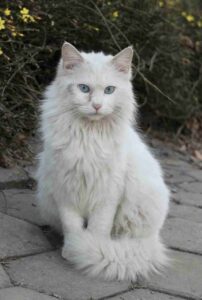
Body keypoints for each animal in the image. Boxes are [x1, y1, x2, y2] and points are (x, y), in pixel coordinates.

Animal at [37, 41, 170, 282]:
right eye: (84, 88)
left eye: (109, 90)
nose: (97, 106)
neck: (88, 135)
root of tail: (153, 238)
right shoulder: (65, 190)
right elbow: (72, 226)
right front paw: (73, 249)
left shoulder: (108, 194)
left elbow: (98, 228)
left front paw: (87, 248)